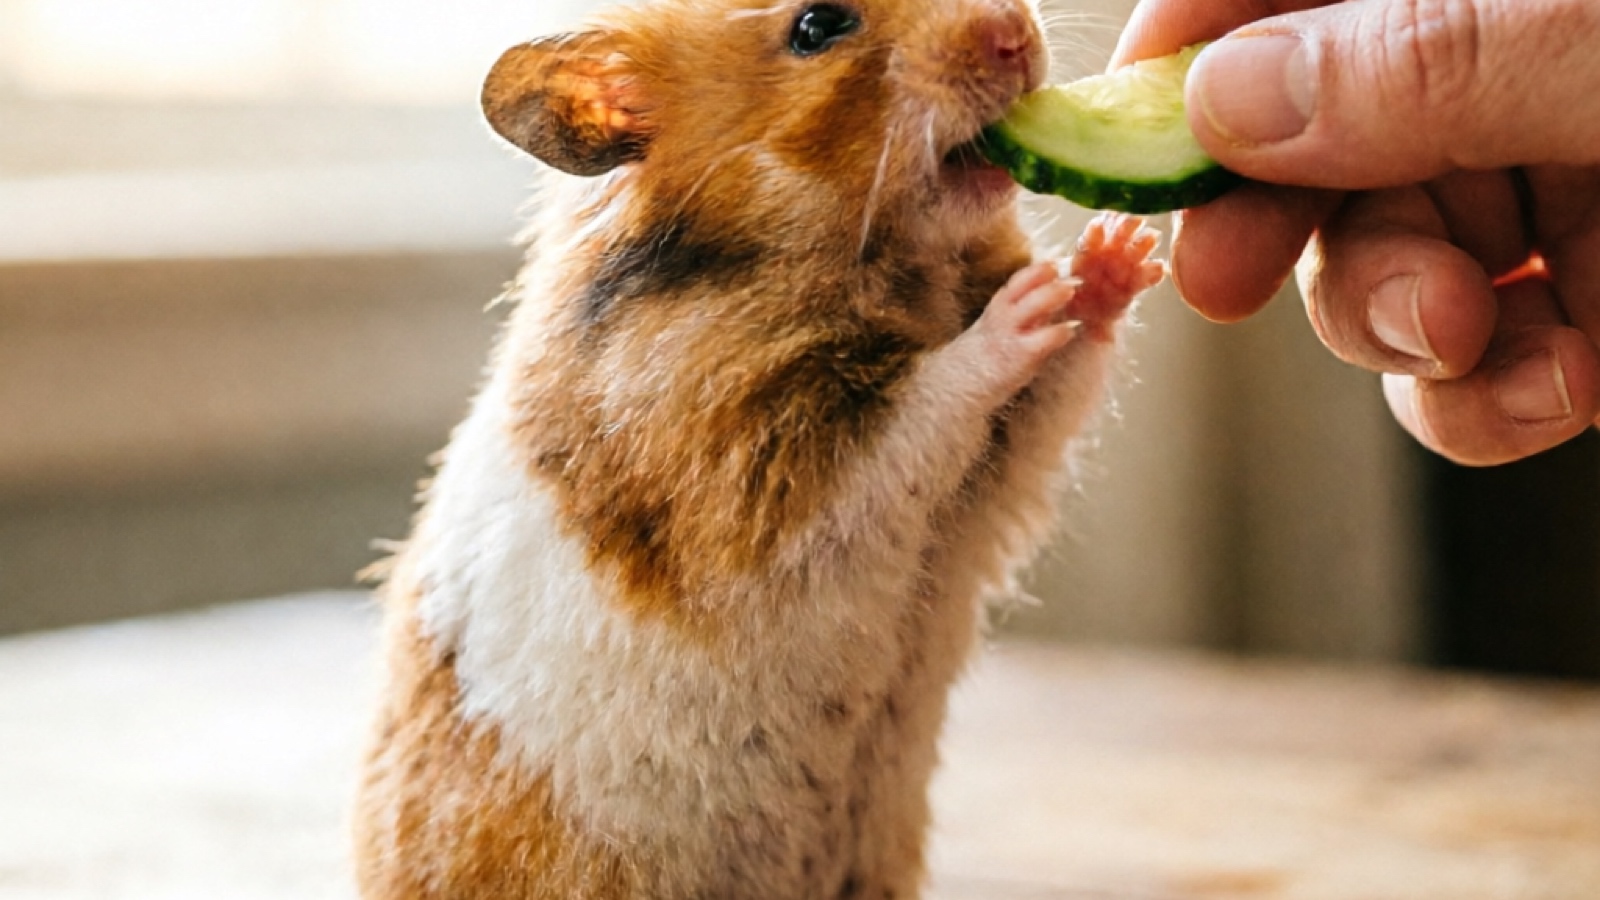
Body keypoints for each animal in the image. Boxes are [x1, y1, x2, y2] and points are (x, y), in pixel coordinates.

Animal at [352, 1, 1164, 898]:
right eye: (816, 26)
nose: (1015, 32)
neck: (897, 264)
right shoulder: (769, 475)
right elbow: (929, 401)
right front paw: (1028, 303)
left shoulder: (1004, 463)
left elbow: (1061, 376)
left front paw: (1115, 253)